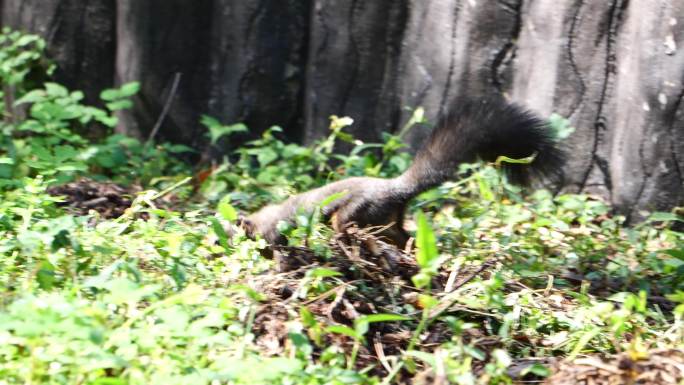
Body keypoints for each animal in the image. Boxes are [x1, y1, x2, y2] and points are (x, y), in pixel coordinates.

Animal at [238, 96, 564, 249]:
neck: (267, 216)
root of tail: (397, 190)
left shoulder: (276, 228)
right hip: (386, 220)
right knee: (404, 236)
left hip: (358, 213)